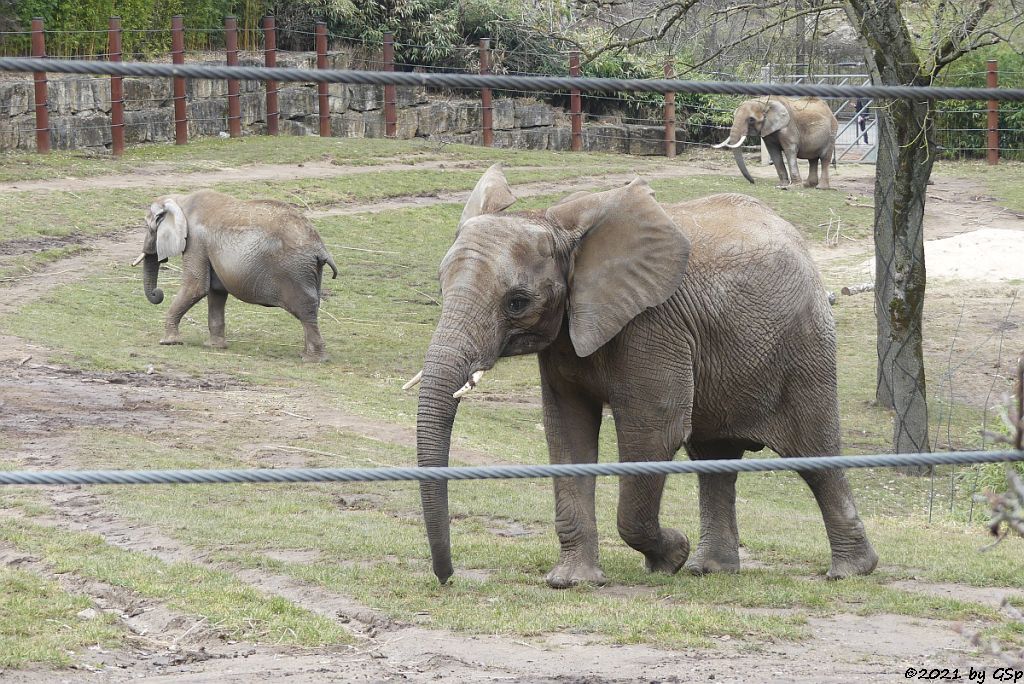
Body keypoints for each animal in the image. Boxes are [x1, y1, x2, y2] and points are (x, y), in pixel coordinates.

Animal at [132, 189, 337, 360]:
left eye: (148, 227)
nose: (158, 293)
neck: (180, 199)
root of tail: (320, 248)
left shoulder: (195, 242)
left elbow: (196, 287)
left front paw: (168, 342)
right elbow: (216, 292)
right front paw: (214, 346)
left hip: (295, 270)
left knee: (305, 310)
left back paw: (312, 360)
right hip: (310, 271)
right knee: (311, 309)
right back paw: (306, 354)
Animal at [407, 163, 880, 589]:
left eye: (517, 302)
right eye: (442, 284)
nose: (447, 579)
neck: (557, 227)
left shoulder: (652, 325)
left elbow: (653, 434)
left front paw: (670, 556)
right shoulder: (566, 336)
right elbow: (568, 433)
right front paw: (572, 581)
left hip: (805, 346)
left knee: (815, 453)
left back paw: (850, 572)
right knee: (713, 459)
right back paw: (712, 570)